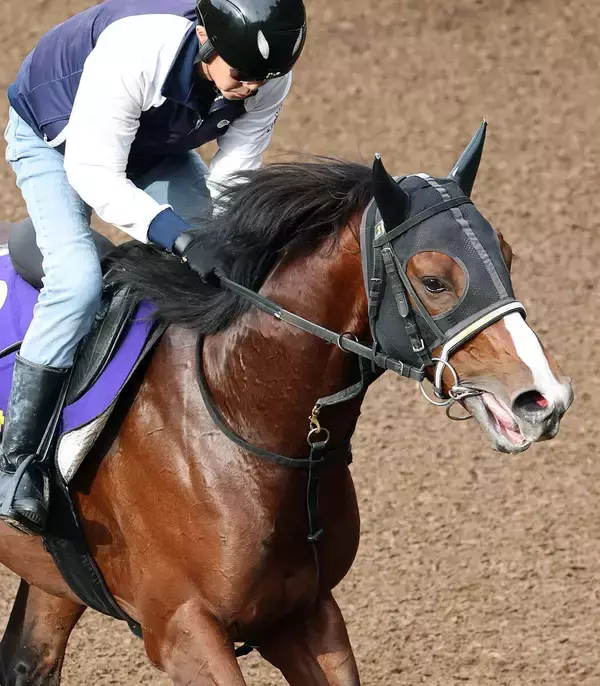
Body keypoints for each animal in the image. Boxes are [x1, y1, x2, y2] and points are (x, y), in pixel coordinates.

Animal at [0, 129, 573, 685]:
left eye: (507, 257)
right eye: (434, 280)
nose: (544, 399)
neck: (244, 414)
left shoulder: (302, 613)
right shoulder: (182, 627)